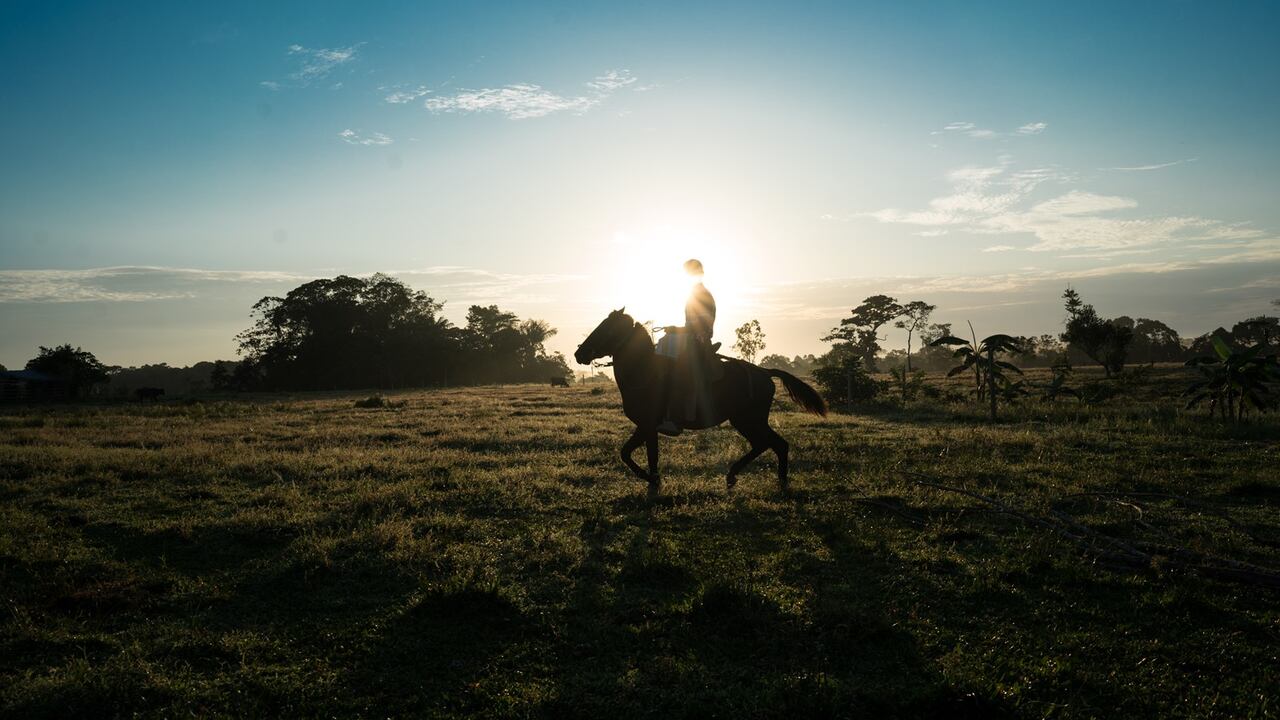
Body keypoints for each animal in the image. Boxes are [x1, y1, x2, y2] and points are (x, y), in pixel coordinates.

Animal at [574, 309, 827, 491]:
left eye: (606, 328)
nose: (579, 353)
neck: (644, 372)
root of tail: (765, 373)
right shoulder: (644, 427)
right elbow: (627, 453)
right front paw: (652, 480)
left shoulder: (648, 426)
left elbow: (647, 456)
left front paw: (654, 481)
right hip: (746, 421)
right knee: (769, 444)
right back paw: (748, 478)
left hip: (748, 420)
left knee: (773, 444)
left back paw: (767, 480)